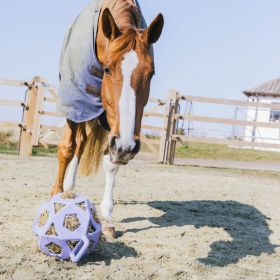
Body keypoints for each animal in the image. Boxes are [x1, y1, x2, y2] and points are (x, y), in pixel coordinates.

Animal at [51, 0, 163, 237]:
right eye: (107, 69)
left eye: (151, 73)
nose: (127, 147)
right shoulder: (75, 104)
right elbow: (66, 149)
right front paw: (55, 196)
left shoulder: (114, 127)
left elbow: (110, 163)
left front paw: (106, 216)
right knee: (75, 144)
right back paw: (67, 187)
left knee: (83, 144)